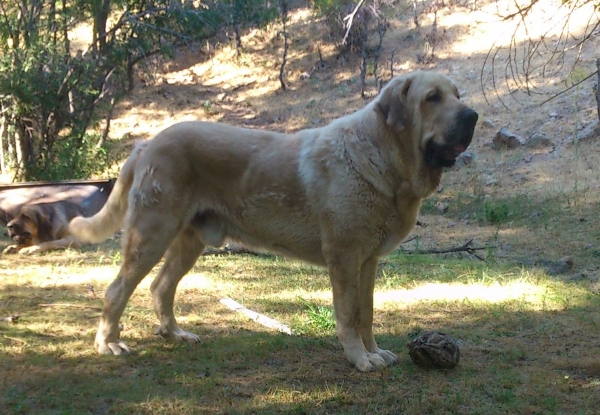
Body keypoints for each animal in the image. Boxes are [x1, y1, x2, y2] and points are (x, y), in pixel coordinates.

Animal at [69, 71, 478, 374]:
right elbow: (348, 314)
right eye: (432, 98)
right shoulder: (345, 259)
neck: (385, 156)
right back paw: (109, 343)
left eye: (457, 95)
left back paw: (175, 334)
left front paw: (374, 352)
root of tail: (147, 144)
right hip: (151, 234)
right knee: (117, 289)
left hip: (188, 241)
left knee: (160, 286)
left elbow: (367, 312)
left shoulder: (368, 261)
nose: (472, 116)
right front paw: (359, 359)